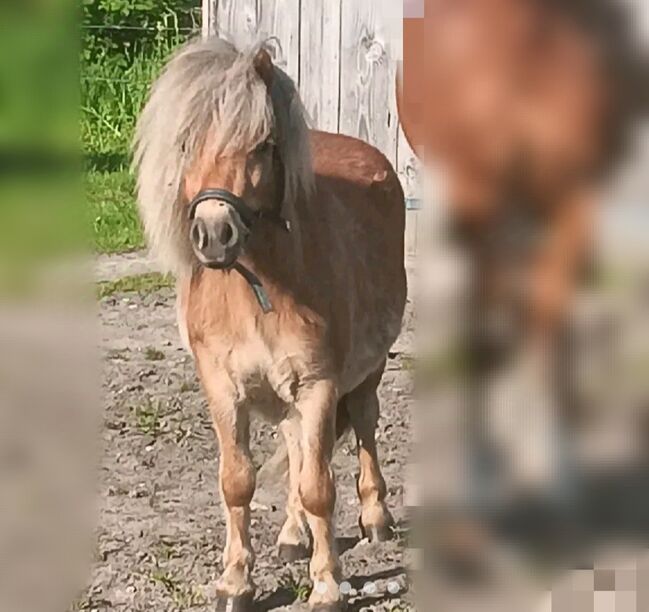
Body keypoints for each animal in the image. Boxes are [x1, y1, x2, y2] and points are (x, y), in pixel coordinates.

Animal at [132, 35, 404, 608]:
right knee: (297, 447)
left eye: (260, 145)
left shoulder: (320, 384)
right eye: (186, 142)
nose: (214, 235)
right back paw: (293, 535)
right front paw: (235, 581)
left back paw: (375, 518)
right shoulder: (222, 386)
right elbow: (240, 481)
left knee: (363, 426)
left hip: (366, 373)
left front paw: (327, 584)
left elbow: (320, 486)